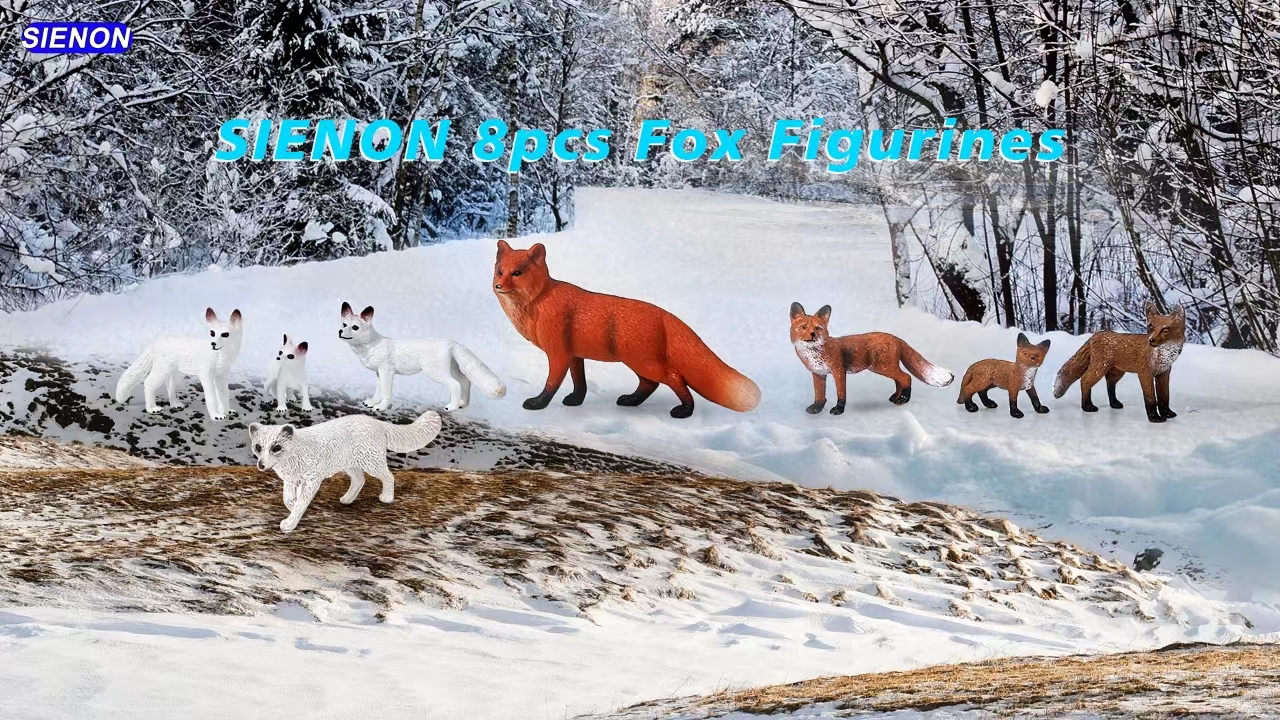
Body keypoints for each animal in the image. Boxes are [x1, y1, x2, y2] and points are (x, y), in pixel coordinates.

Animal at [250, 411, 443, 533]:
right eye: (258, 447)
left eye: (276, 448)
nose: (261, 465)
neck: (291, 459)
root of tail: (376, 422)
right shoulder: (291, 480)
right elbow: (288, 498)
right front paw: (292, 506)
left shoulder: (312, 480)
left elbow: (300, 503)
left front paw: (289, 523)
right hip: (350, 465)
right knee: (360, 480)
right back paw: (347, 499)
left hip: (371, 463)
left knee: (388, 476)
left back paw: (387, 498)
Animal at [339, 302, 505, 412]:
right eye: (344, 325)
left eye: (355, 327)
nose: (340, 332)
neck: (373, 344)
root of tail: (451, 342)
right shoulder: (379, 372)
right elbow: (378, 391)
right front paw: (372, 403)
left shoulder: (387, 372)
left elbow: (386, 393)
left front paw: (381, 407)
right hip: (452, 369)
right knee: (465, 381)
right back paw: (462, 404)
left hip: (435, 372)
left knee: (455, 384)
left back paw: (451, 407)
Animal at [492, 240, 760, 418]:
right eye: (500, 271)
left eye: (517, 273)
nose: (498, 286)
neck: (538, 302)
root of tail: (664, 314)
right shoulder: (575, 355)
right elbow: (580, 383)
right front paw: (576, 401)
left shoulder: (558, 354)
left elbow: (551, 384)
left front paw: (538, 404)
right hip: (638, 363)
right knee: (650, 385)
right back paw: (632, 400)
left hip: (644, 362)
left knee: (675, 378)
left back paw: (685, 410)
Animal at [789, 303, 953, 415]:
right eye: (803, 327)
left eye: (818, 328)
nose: (812, 334)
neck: (815, 353)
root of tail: (895, 337)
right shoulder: (818, 373)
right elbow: (819, 394)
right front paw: (817, 408)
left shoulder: (838, 371)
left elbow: (841, 394)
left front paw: (838, 410)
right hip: (885, 367)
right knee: (899, 380)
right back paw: (896, 397)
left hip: (883, 367)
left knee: (906, 377)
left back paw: (903, 399)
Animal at [1053, 302, 1185, 423]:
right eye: (1151, 326)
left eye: (1165, 329)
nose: (1151, 340)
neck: (1164, 355)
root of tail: (1096, 334)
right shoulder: (1145, 374)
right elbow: (1151, 398)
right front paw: (1154, 417)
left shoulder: (1163, 374)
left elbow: (1164, 397)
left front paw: (1167, 413)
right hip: (1099, 369)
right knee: (1084, 380)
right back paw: (1087, 406)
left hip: (1117, 372)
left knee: (1109, 384)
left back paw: (1114, 403)